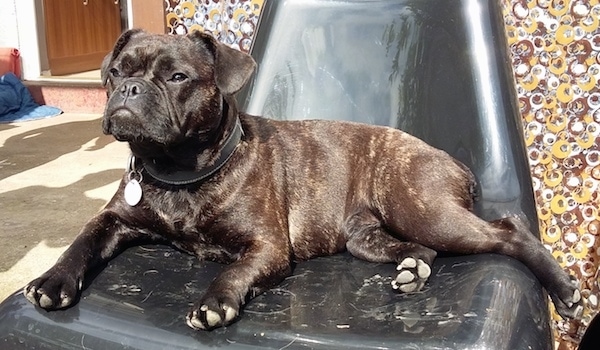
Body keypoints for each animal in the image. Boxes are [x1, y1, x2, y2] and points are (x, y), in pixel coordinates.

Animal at [24, 28, 580, 330]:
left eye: (178, 77)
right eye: (116, 71)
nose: (129, 89)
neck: (177, 170)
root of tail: (450, 161)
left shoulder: (266, 247)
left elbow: (233, 272)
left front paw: (215, 302)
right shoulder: (113, 220)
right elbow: (80, 241)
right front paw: (53, 281)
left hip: (423, 209)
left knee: (506, 232)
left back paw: (563, 289)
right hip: (367, 237)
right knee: (422, 250)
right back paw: (412, 270)